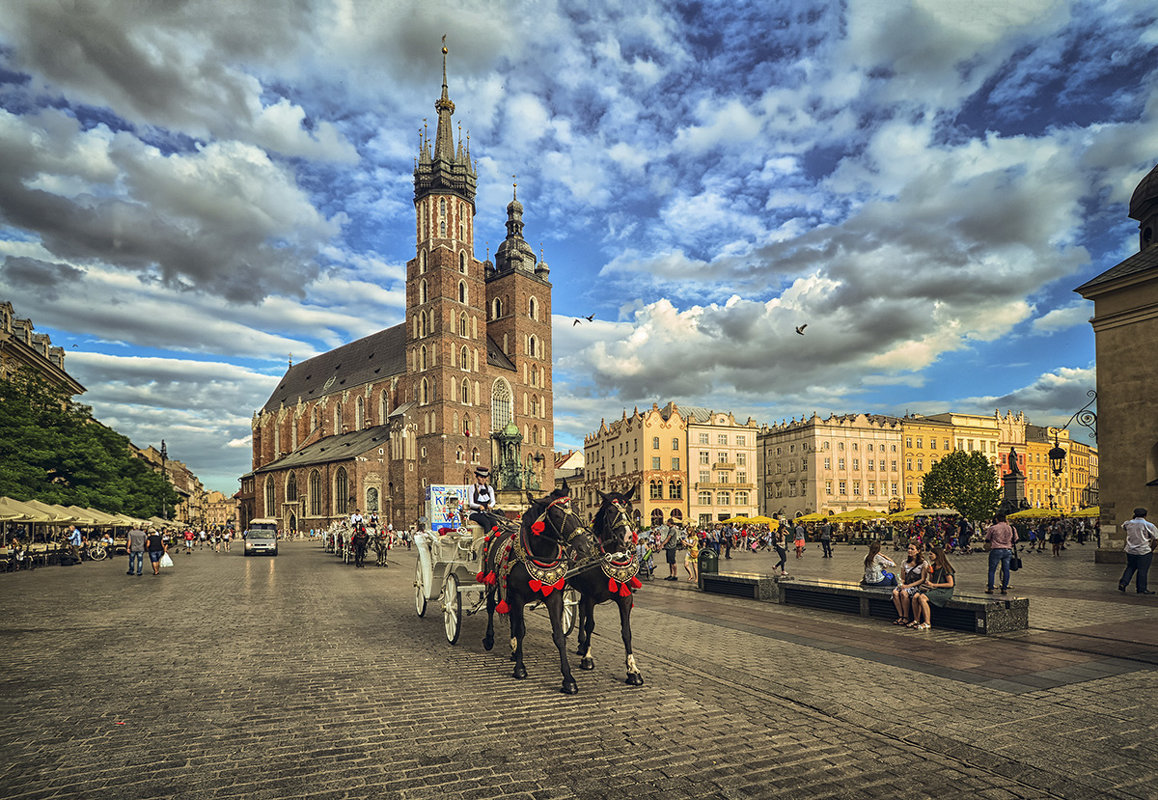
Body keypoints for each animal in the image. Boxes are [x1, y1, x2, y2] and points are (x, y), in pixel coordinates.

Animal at [477, 481, 592, 694]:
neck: (541, 556)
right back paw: (489, 640)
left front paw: (568, 680)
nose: (585, 546)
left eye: (576, 508)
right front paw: (520, 669)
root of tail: (500, 525)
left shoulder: (554, 597)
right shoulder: (519, 596)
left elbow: (558, 636)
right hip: (491, 580)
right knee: (490, 607)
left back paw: (514, 649)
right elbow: (521, 630)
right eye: (557, 515)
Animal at [567, 488, 643, 690]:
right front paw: (588, 658)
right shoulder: (591, 597)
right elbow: (591, 625)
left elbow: (626, 632)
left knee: (581, 610)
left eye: (630, 509)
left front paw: (633, 670)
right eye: (610, 510)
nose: (627, 536)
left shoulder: (626, 599)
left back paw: (581, 644)